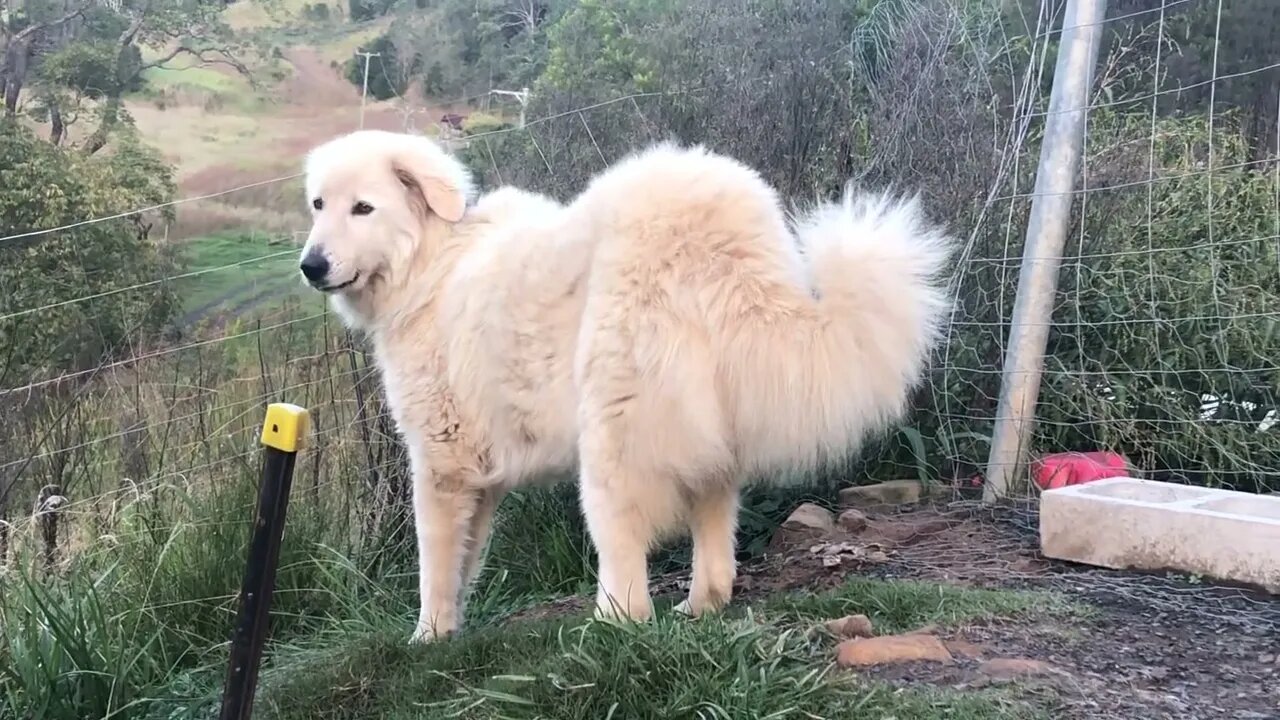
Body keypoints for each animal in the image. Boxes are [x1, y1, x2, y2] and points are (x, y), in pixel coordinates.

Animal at [296, 128, 952, 638]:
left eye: (363, 208)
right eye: (318, 204)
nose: (310, 266)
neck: (430, 261)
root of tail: (719, 242)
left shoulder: (440, 462)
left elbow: (434, 562)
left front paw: (428, 637)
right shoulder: (481, 476)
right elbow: (466, 558)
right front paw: (452, 628)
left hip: (612, 436)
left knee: (626, 560)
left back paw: (607, 627)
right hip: (703, 427)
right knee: (715, 540)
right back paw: (698, 606)